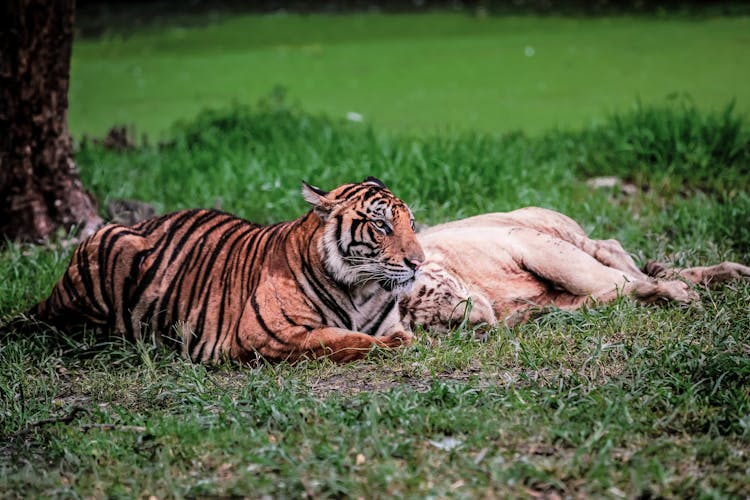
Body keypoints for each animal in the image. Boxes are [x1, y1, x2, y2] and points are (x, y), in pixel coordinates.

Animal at [29, 179, 426, 364]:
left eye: (410, 224)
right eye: (381, 225)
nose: (419, 262)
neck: (361, 289)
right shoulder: (268, 334)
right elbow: (345, 339)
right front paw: (399, 344)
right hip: (110, 248)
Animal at [406, 207, 750, 332]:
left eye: (447, 295)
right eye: (440, 324)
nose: (476, 323)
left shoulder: (527, 242)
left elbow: (596, 278)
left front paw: (676, 293)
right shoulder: (549, 301)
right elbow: (606, 293)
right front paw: (661, 292)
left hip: (550, 228)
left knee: (610, 247)